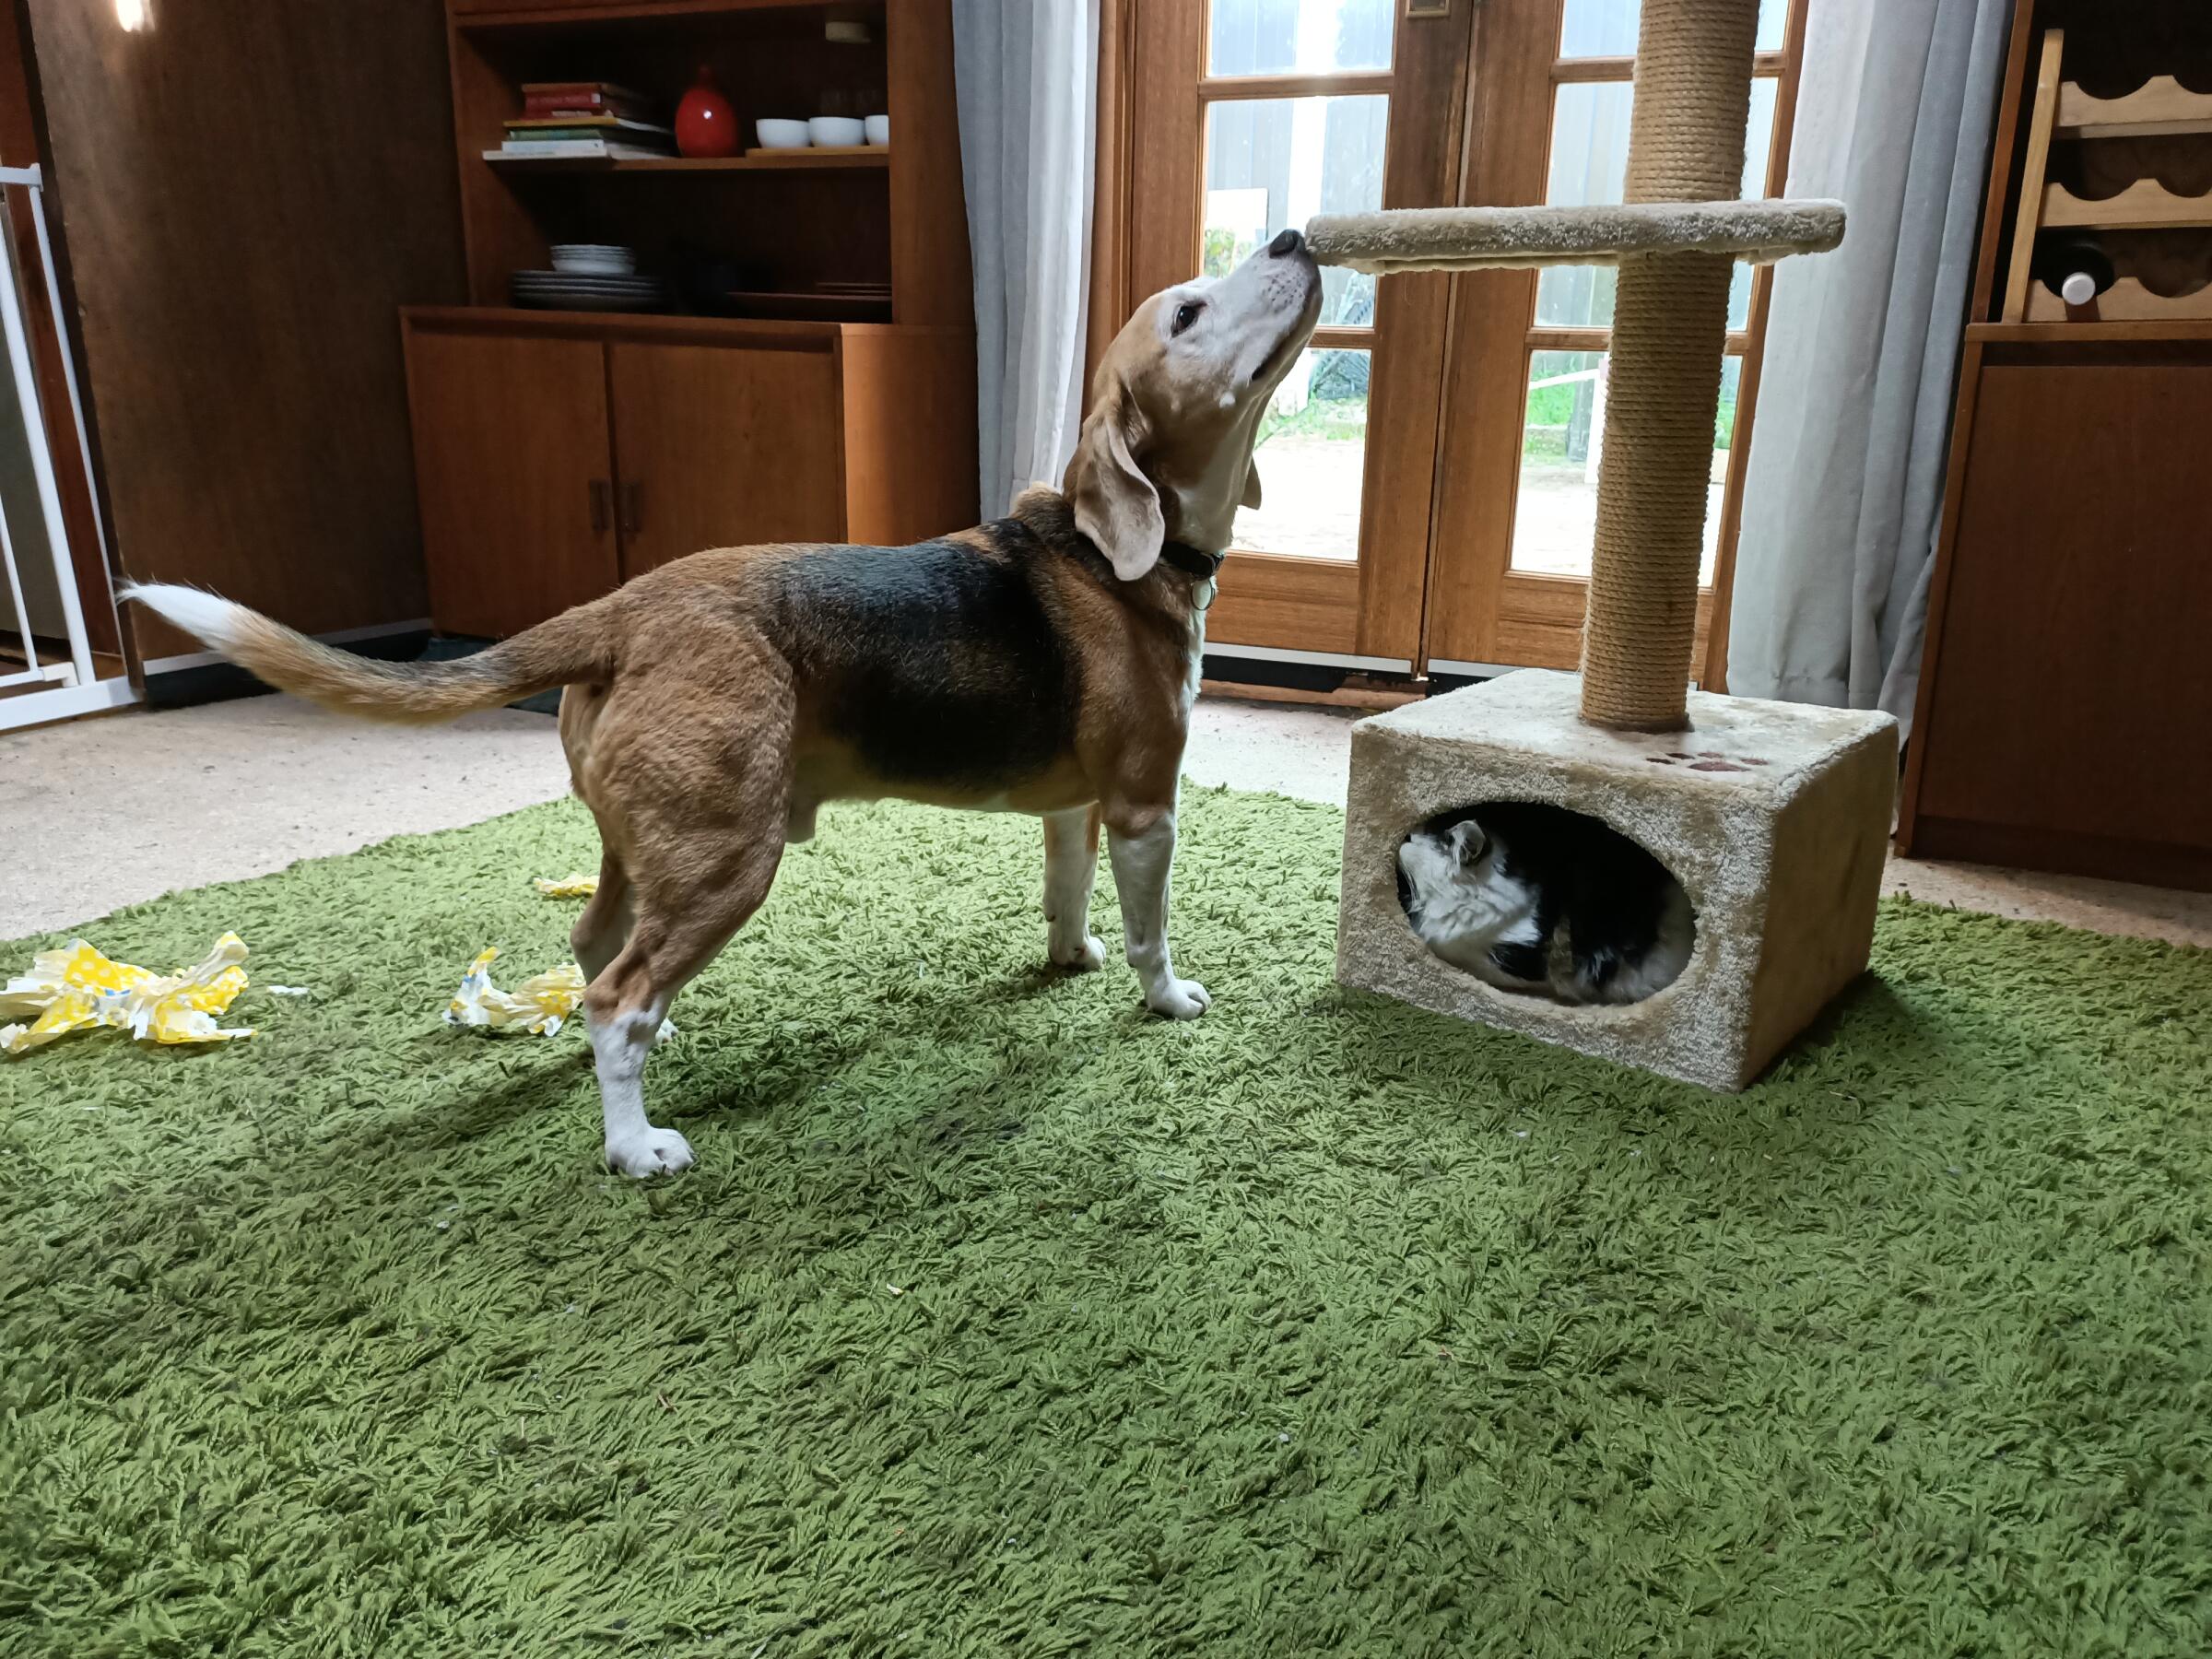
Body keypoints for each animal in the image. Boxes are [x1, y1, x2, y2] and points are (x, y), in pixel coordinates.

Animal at [126, 229, 1323, 1176]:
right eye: (1188, 312)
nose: (1296, 237)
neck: (1111, 548)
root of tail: (619, 610)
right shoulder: (1143, 808)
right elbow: (1151, 930)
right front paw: (1167, 1001)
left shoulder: (1074, 809)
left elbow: (1066, 897)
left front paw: (1067, 962)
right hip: (729, 857)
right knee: (617, 997)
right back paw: (633, 1145)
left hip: (649, 842)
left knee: (596, 950)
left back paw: (634, 1062)